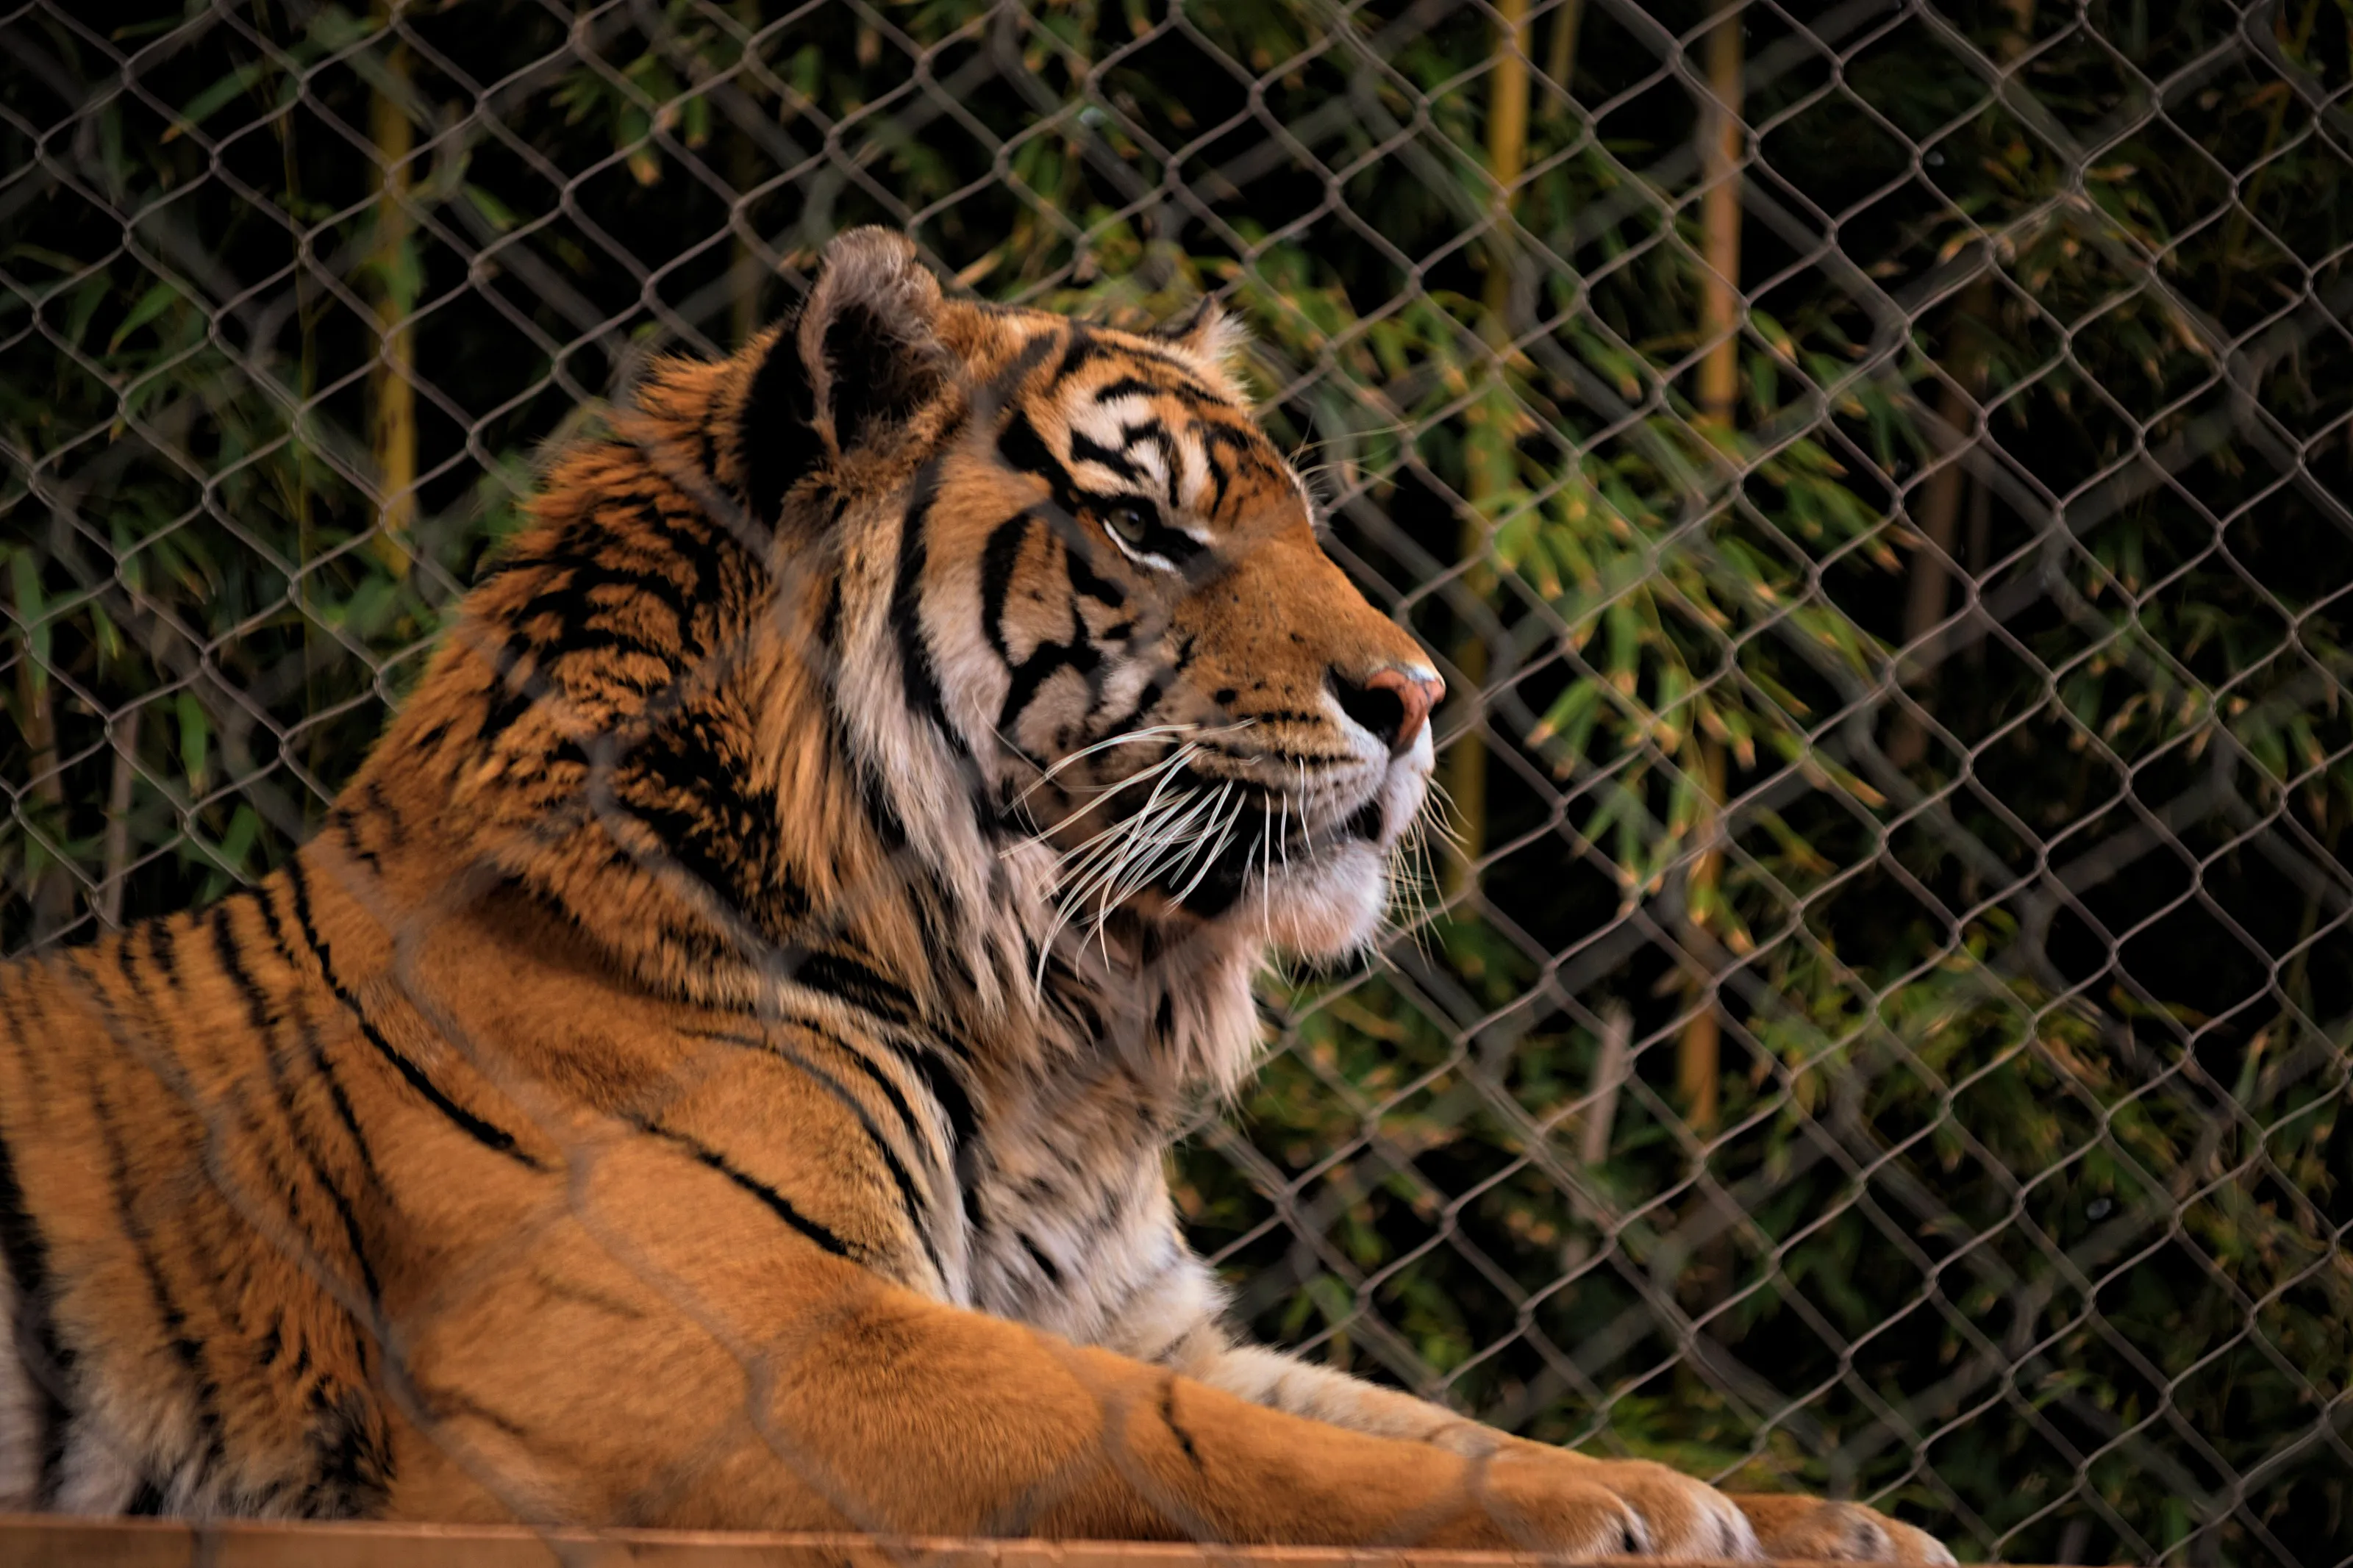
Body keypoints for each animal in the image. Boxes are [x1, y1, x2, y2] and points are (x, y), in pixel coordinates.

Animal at [0, 227, 1952, 1560]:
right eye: (1147, 527)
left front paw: (1811, 1513)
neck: (1054, 1027)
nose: (1415, 698)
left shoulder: (1137, 1309)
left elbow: (1419, 1418)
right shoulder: (761, 1349)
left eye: (1305, 527)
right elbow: (1194, 1445)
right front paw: (1640, 1513)